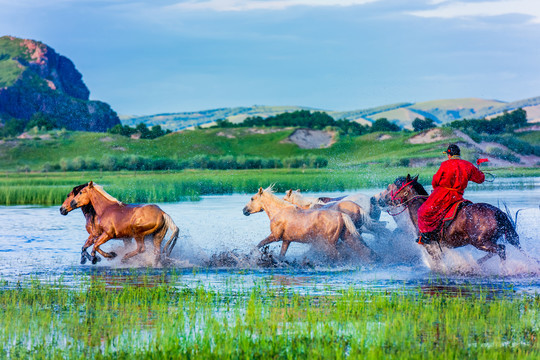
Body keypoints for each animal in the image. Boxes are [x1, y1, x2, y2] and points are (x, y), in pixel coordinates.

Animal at [242, 187, 376, 260]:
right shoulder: (286, 240)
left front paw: (250, 255)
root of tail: (341, 215)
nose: (244, 210)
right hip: (346, 237)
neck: (279, 211)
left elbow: (259, 244)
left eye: (252, 198)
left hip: (330, 243)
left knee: (338, 256)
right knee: (362, 250)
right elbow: (282, 255)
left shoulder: (275, 236)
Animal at [376, 175, 520, 264]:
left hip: (480, 242)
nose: (381, 201)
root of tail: (498, 212)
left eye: (392, 188)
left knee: (501, 250)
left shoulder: (431, 246)